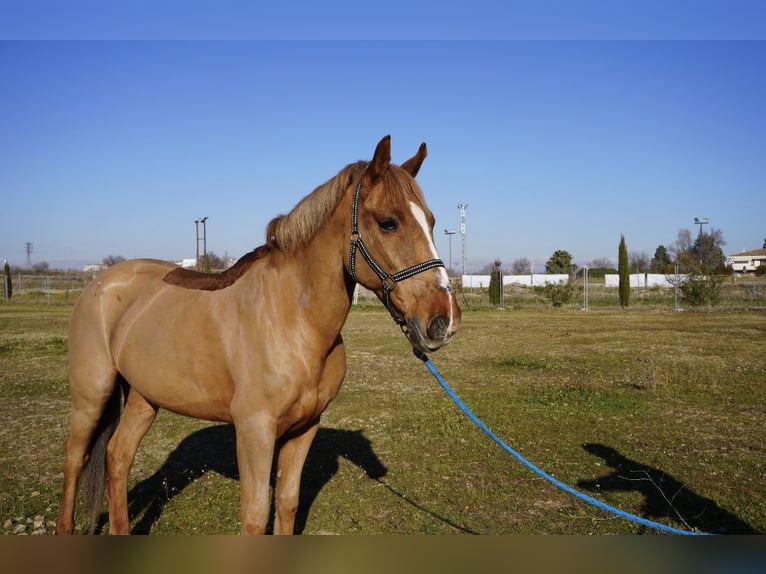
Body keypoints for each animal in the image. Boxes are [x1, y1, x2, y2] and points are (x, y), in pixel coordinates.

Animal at [57, 135, 462, 536]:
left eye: (431, 222)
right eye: (388, 222)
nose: (444, 319)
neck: (293, 322)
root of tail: (101, 282)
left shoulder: (304, 429)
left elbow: (287, 503)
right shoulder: (255, 432)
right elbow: (254, 517)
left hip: (144, 397)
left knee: (117, 456)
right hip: (92, 395)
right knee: (76, 458)